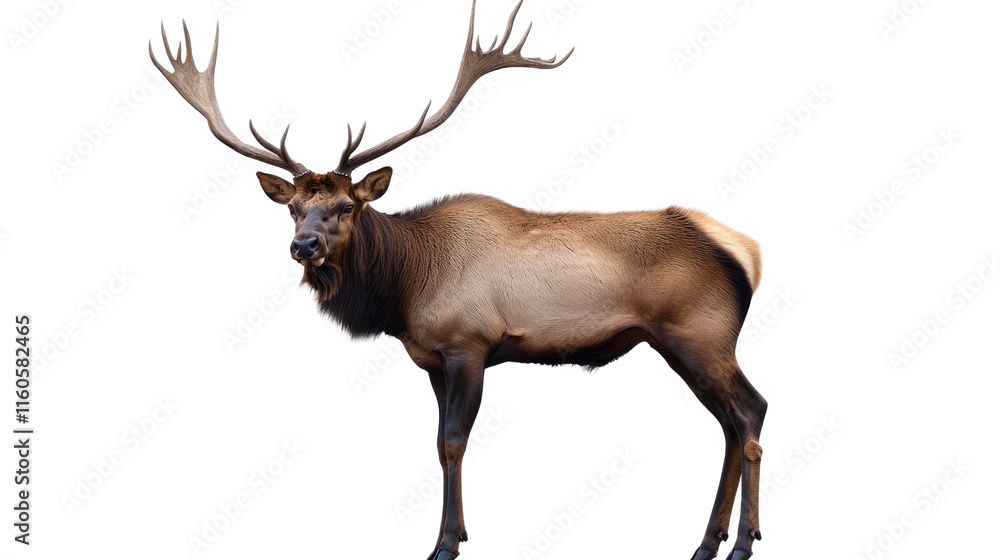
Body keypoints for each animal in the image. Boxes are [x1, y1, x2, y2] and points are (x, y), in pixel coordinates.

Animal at [150, 2, 767, 559]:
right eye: (294, 207)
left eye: (346, 205)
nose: (305, 246)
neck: (404, 290)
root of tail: (748, 251)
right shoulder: (430, 358)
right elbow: (438, 443)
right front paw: (457, 533)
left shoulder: (468, 343)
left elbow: (453, 443)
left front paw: (446, 543)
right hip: (685, 344)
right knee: (729, 424)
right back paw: (708, 543)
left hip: (699, 334)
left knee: (749, 413)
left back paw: (741, 542)